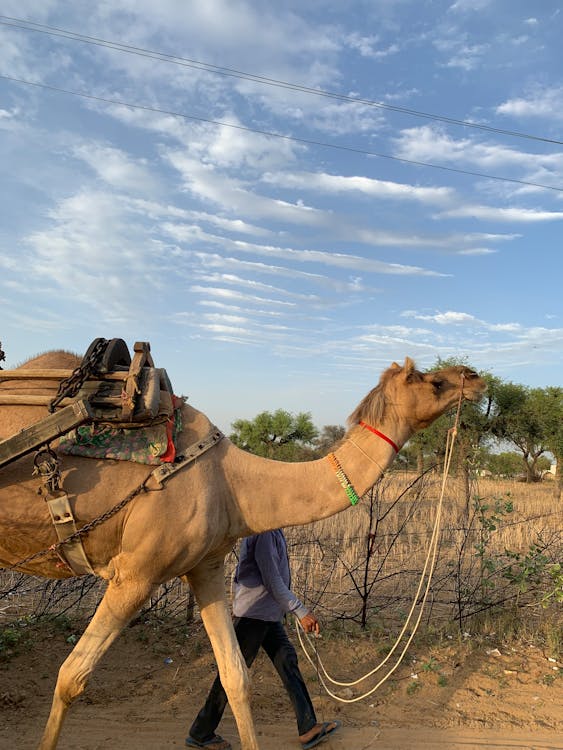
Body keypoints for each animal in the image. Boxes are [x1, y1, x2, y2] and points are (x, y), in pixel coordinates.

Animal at [0, 352, 484, 750]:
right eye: (427, 380)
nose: (474, 376)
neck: (233, 483)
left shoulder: (207, 566)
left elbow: (236, 677)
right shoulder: (136, 574)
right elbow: (71, 676)